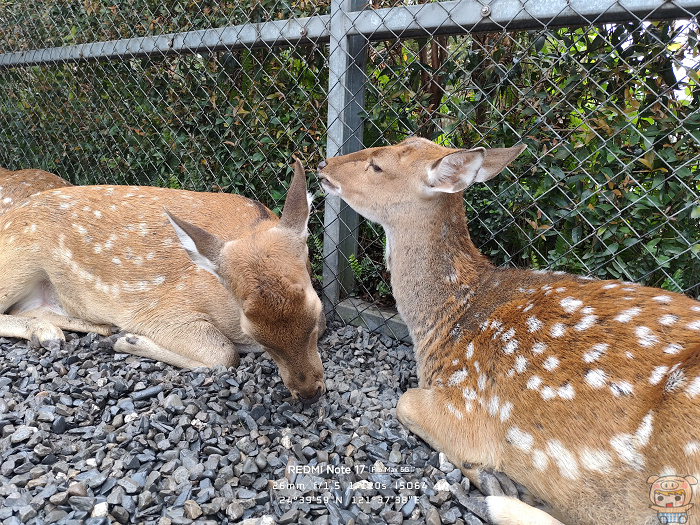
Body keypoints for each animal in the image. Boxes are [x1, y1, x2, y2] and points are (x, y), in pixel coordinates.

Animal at [0, 160, 326, 404]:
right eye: (254, 331)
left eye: (316, 314)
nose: (310, 392)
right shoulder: (162, 309)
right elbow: (223, 354)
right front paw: (128, 340)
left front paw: (122, 337)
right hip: (19, 255)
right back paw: (51, 333)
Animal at [318, 136, 700, 525]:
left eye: (377, 165)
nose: (323, 165)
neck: (443, 323)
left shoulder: (466, 403)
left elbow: (405, 402)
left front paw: (494, 476)